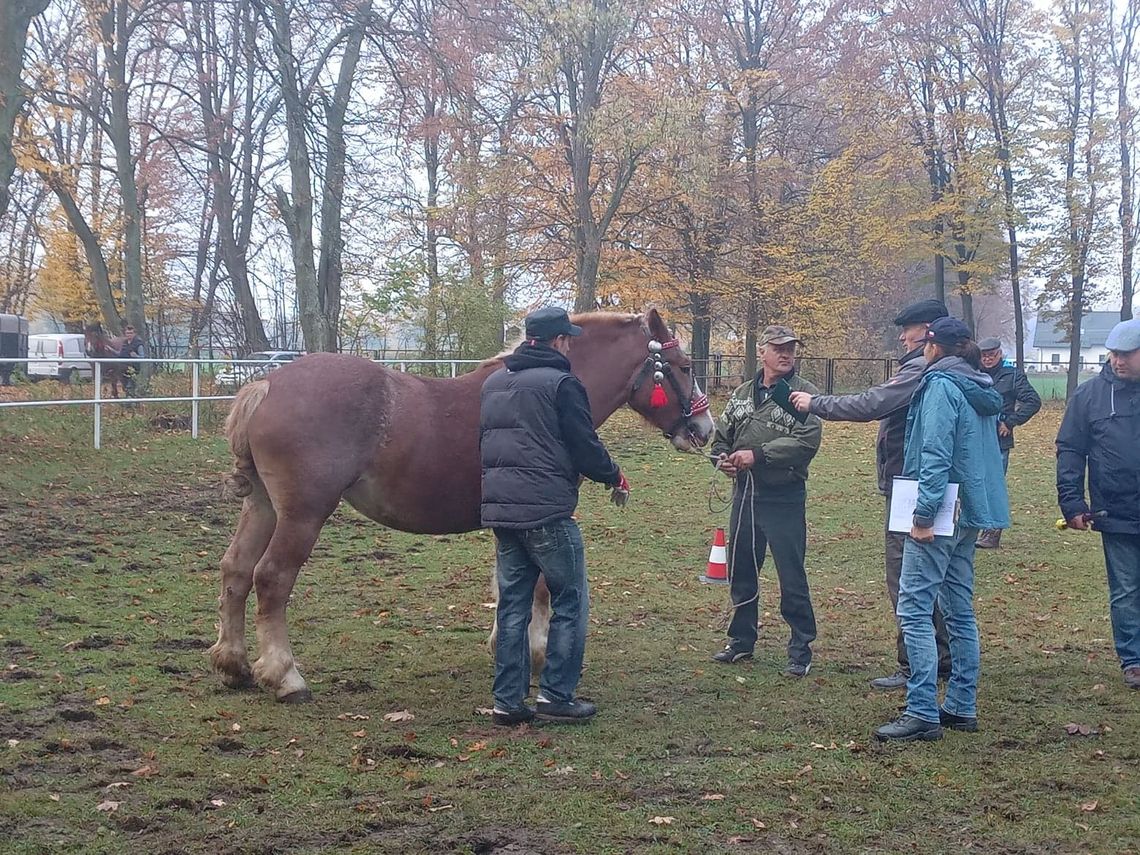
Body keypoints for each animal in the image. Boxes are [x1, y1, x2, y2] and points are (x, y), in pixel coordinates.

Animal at [209, 307, 715, 702]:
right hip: (302, 515)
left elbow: (508, 584)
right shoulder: (545, 516)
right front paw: (537, 654)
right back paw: (285, 676)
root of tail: (267, 385)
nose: (704, 429)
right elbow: (540, 587)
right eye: (682, 366)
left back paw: (233, 664)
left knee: (236, 569)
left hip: (263, 507)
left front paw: (505, 647)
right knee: (271, 578)